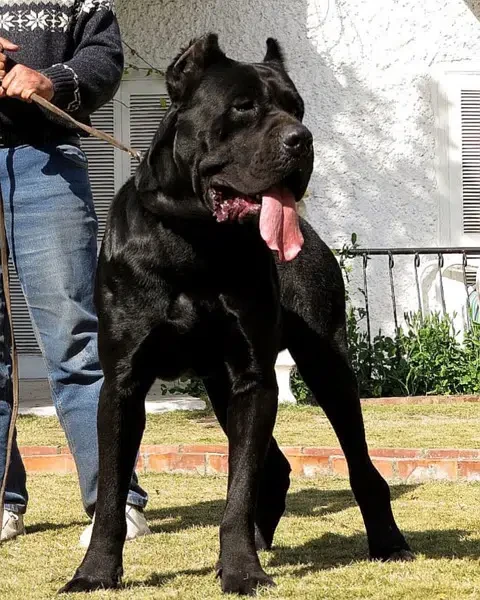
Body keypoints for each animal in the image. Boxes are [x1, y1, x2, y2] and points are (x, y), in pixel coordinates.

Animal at [61, 36, 412, 596]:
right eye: (242, 107)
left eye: (298, 108)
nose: (302, 139)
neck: (194, 238)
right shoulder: (123, 383)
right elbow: (113, 493)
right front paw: (94, 573)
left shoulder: (252, 378)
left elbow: (240, 486)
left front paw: (242, 570)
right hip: (220, 387)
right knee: (278, 467)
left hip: (325, 366)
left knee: (359, 463)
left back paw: (385, 541)